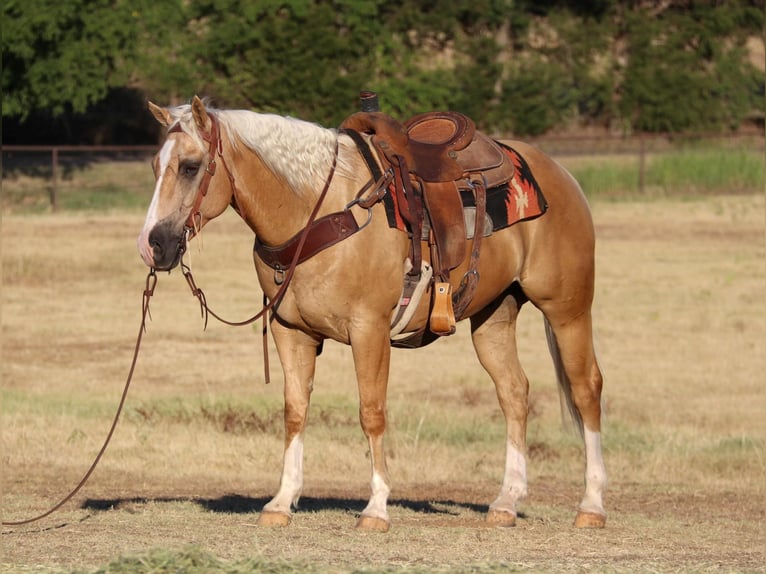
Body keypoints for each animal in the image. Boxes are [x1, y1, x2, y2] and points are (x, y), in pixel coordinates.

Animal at [136, 97, 608, 532]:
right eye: (156, 166)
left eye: (191, 166)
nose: (152, 245)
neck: (319, 210)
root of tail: (560, 175)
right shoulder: (290, 331)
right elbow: (294, 411)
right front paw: (281, 501)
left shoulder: (369, 330)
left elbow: (371, 412)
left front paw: (376, 508)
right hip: (494, 315)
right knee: (514, 392)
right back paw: (506, 502)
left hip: (567, 309)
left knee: (586, 389)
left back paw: (591, 505)